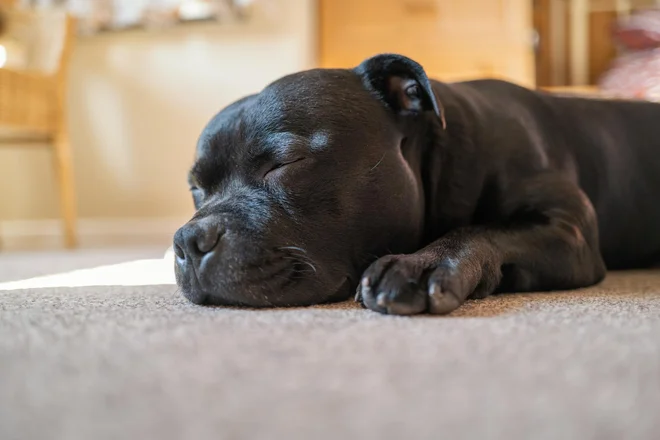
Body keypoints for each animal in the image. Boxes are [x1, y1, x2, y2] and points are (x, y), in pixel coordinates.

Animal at [171, 54, 660, 316]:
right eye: (196, 189)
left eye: (284, 162)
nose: (188, 240)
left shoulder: (568, 229)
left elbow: (484, 229)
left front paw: (422, 264)